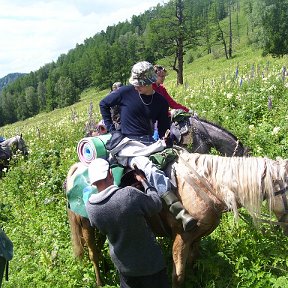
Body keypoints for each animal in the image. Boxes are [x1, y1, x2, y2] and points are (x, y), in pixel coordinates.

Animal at [65, 150, 288, 286]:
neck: (205, 185)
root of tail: (76, 169)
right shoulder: (181, 238)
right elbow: (178, 275)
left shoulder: (197, 238)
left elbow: (193, 261)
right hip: (86, 228)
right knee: (93, 254)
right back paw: (100, 281)